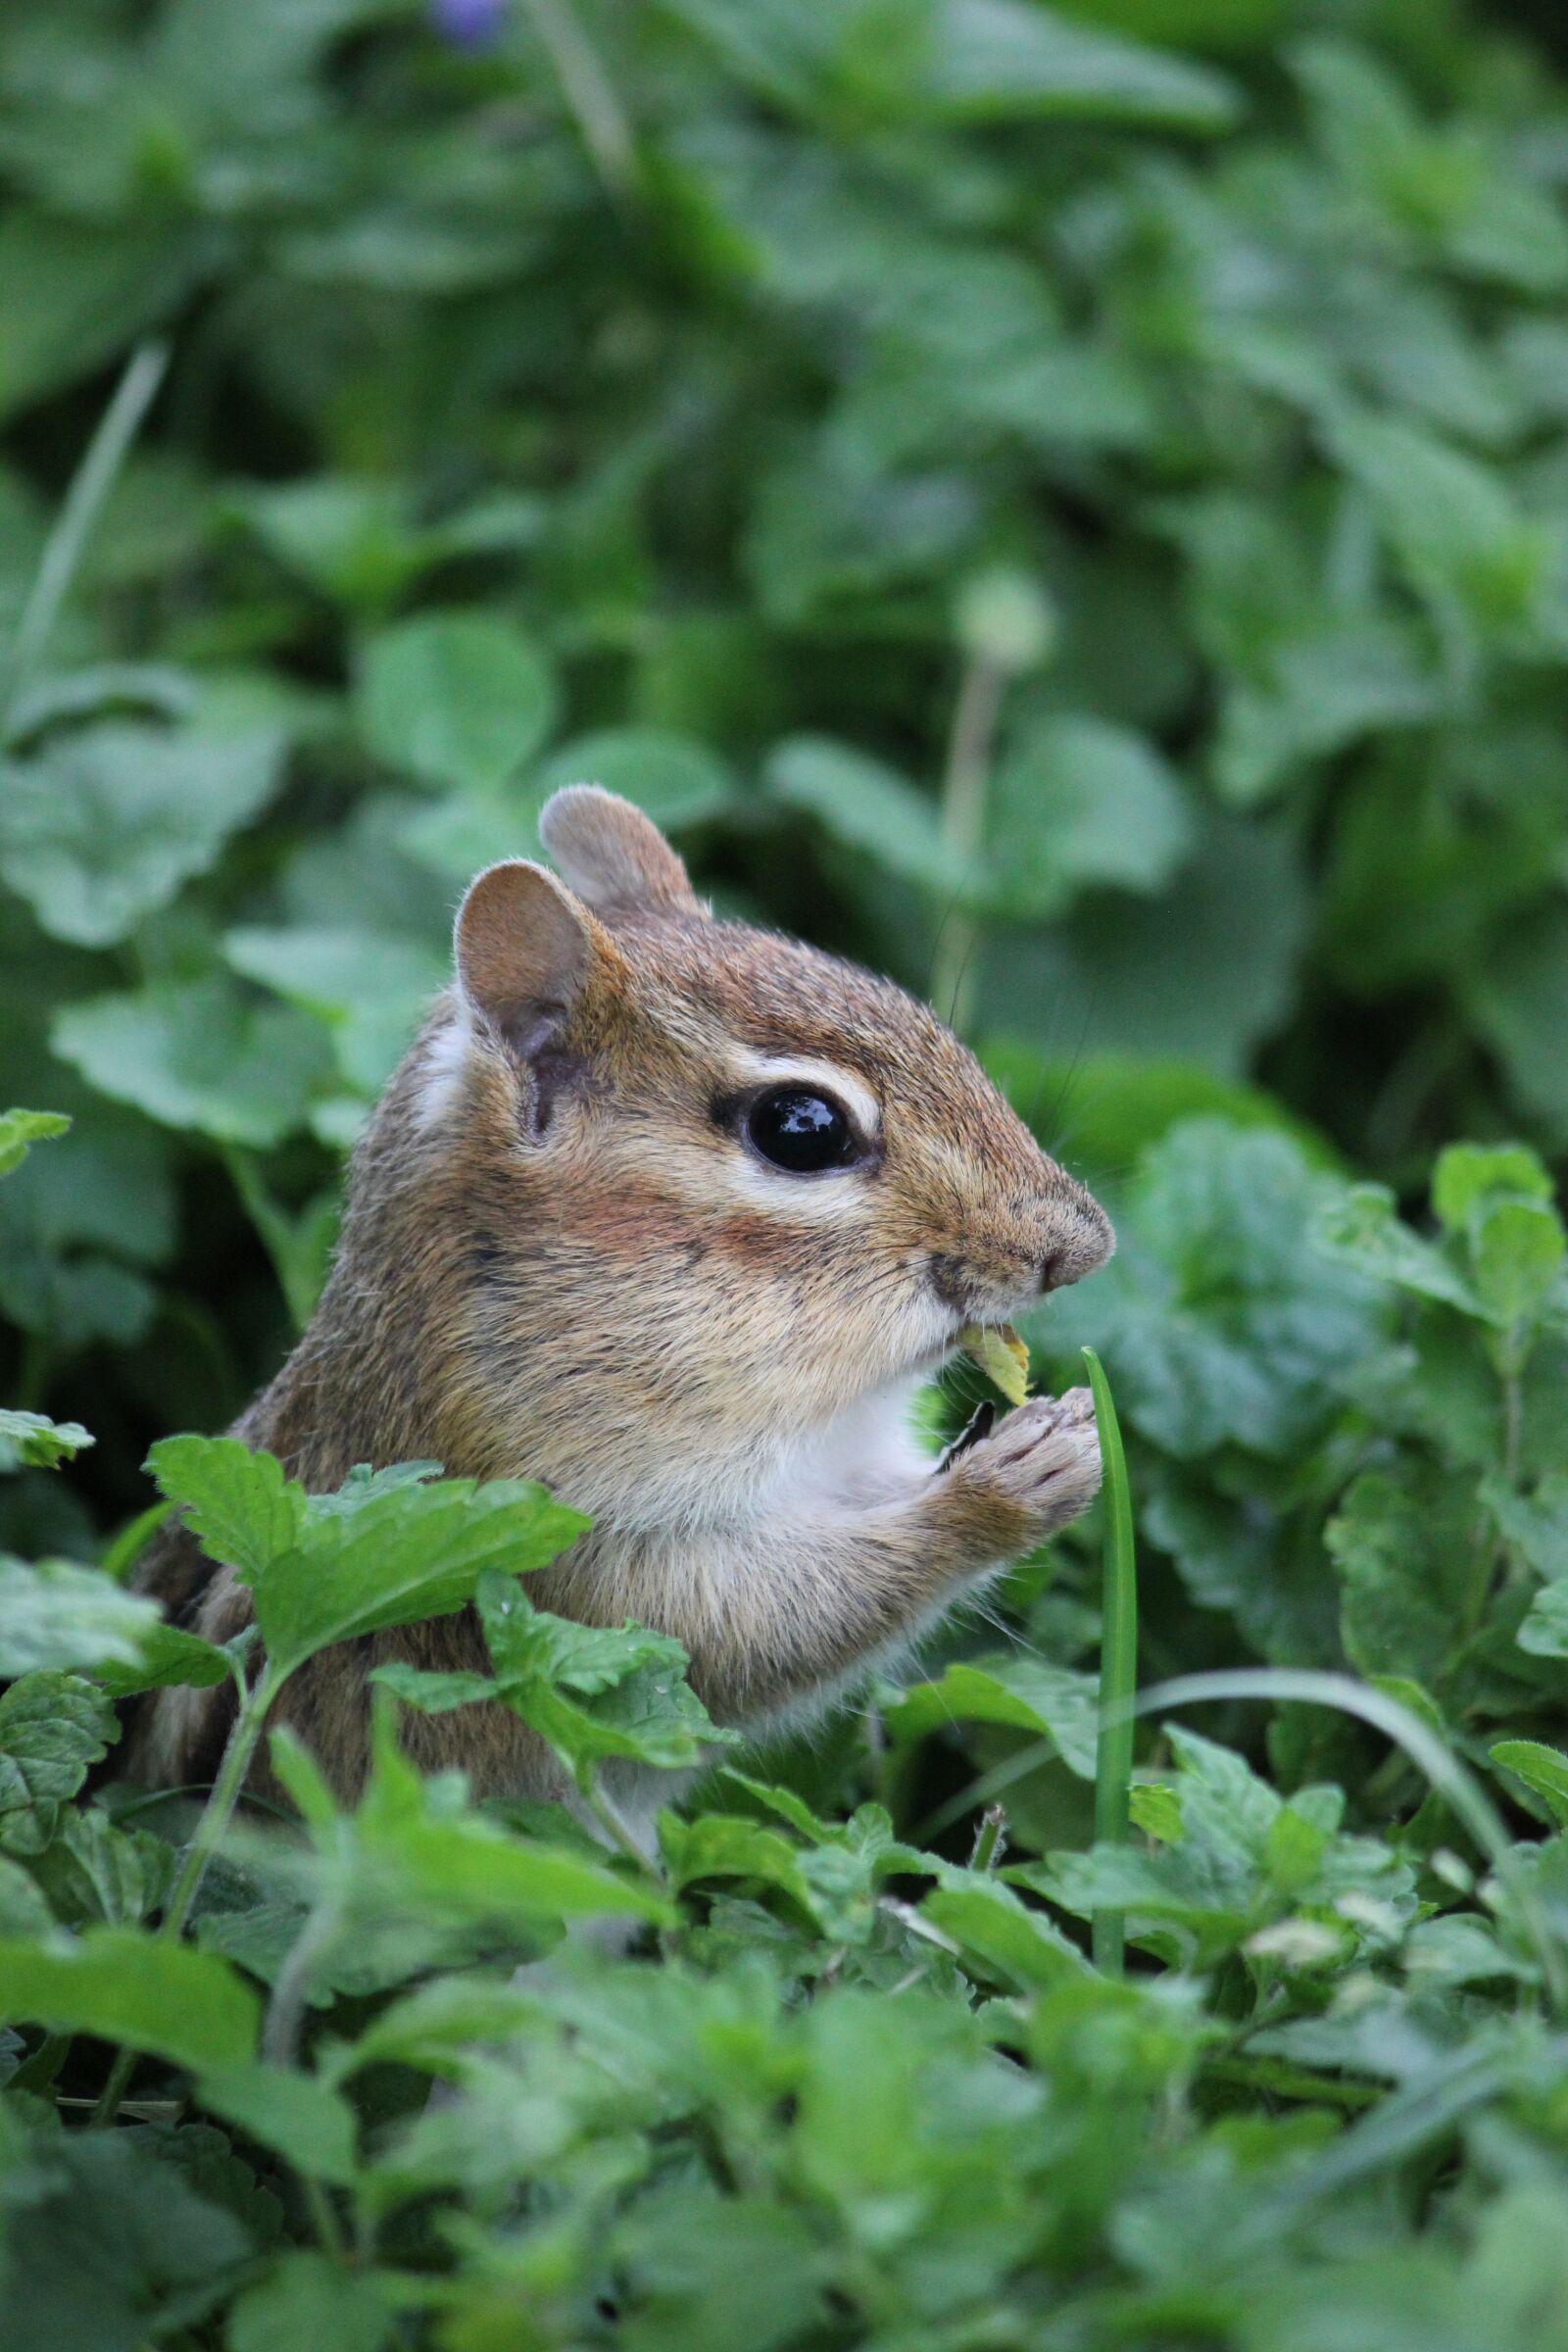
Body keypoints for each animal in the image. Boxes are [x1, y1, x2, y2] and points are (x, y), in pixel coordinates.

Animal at [126, 787, 1113, 1815]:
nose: (1082, 1246)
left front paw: (1067, 1423)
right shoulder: (558, 1548)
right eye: (802, 1128)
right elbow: (759, 1630)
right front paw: (1017, 1482)